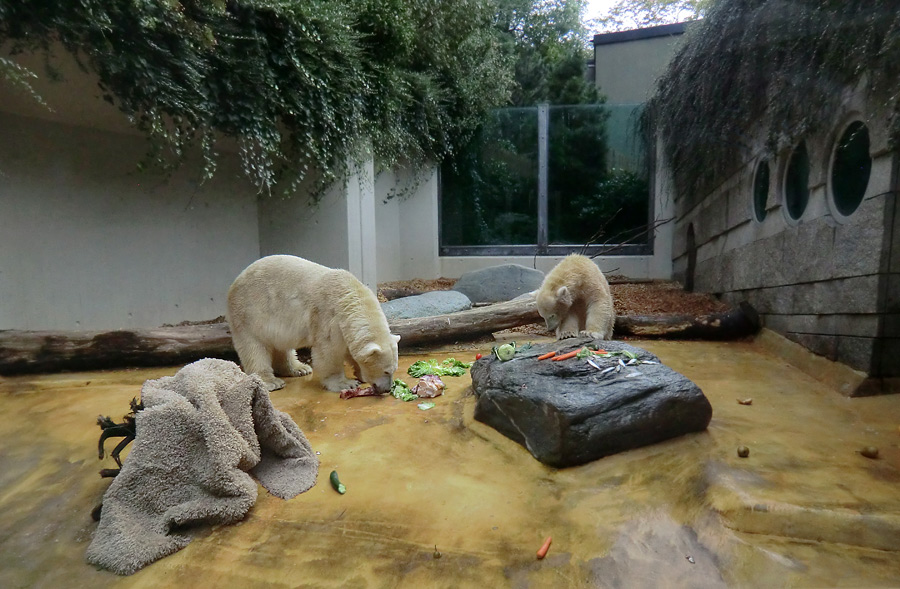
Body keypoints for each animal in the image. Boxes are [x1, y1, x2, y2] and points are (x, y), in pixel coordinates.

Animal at [227, 255, 400, 392]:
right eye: (386, 371)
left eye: (394, 370)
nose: (387, 389)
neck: (349, 298)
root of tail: (235, 282)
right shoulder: (327, 317)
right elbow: (329, 352)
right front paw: (345, 383)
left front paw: (360, 374)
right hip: (249, 314)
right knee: (254, 348)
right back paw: (270, 381)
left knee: (282, 346)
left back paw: (300, 368)